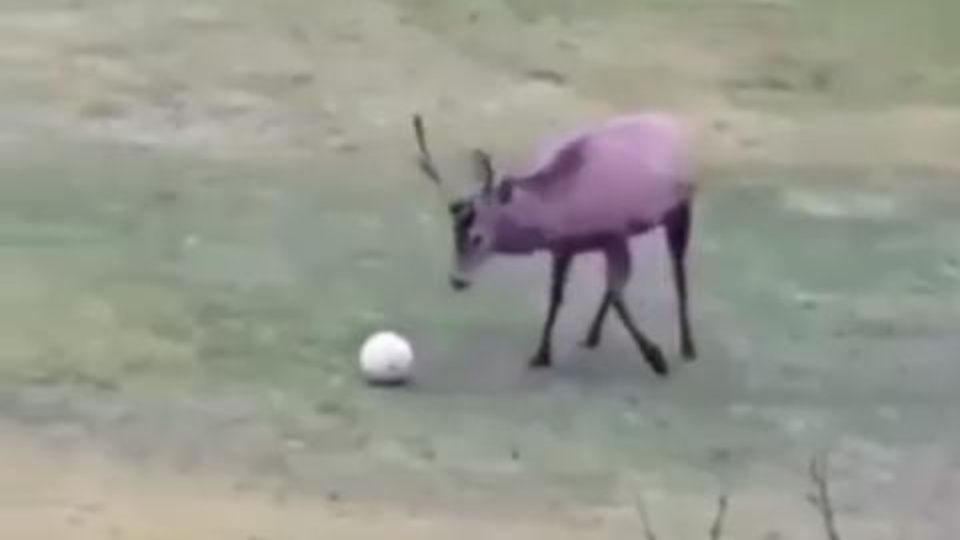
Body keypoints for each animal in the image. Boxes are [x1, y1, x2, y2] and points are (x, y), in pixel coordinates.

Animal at [410, 110, 696, 376]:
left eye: (477, 237)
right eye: (454, 231)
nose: (457, 280)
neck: (559, 211)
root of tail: (676, 127)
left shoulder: (613, 234)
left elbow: (616, 293)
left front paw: (656, 357)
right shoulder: (566, 248)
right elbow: (557, 297)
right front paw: (541, 354)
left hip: (681, 207)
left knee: (678, 271)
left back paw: (688, 346)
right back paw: (592, 336)